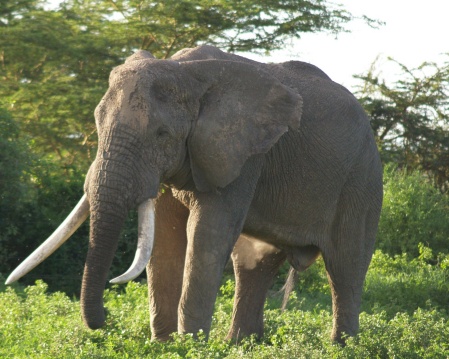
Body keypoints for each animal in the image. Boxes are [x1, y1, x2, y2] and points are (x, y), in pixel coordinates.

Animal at [5, 45, 380, 346]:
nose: (105, 320)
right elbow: (165, 235)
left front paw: (190, 346)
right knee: (254, 263)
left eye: (161, 134)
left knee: (345, 266)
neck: (185, 72)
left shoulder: (244, 155)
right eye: (97, 123)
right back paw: (240, 345)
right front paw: (165, 345)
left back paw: (342, 347)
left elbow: (206, 235)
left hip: (361, 178)